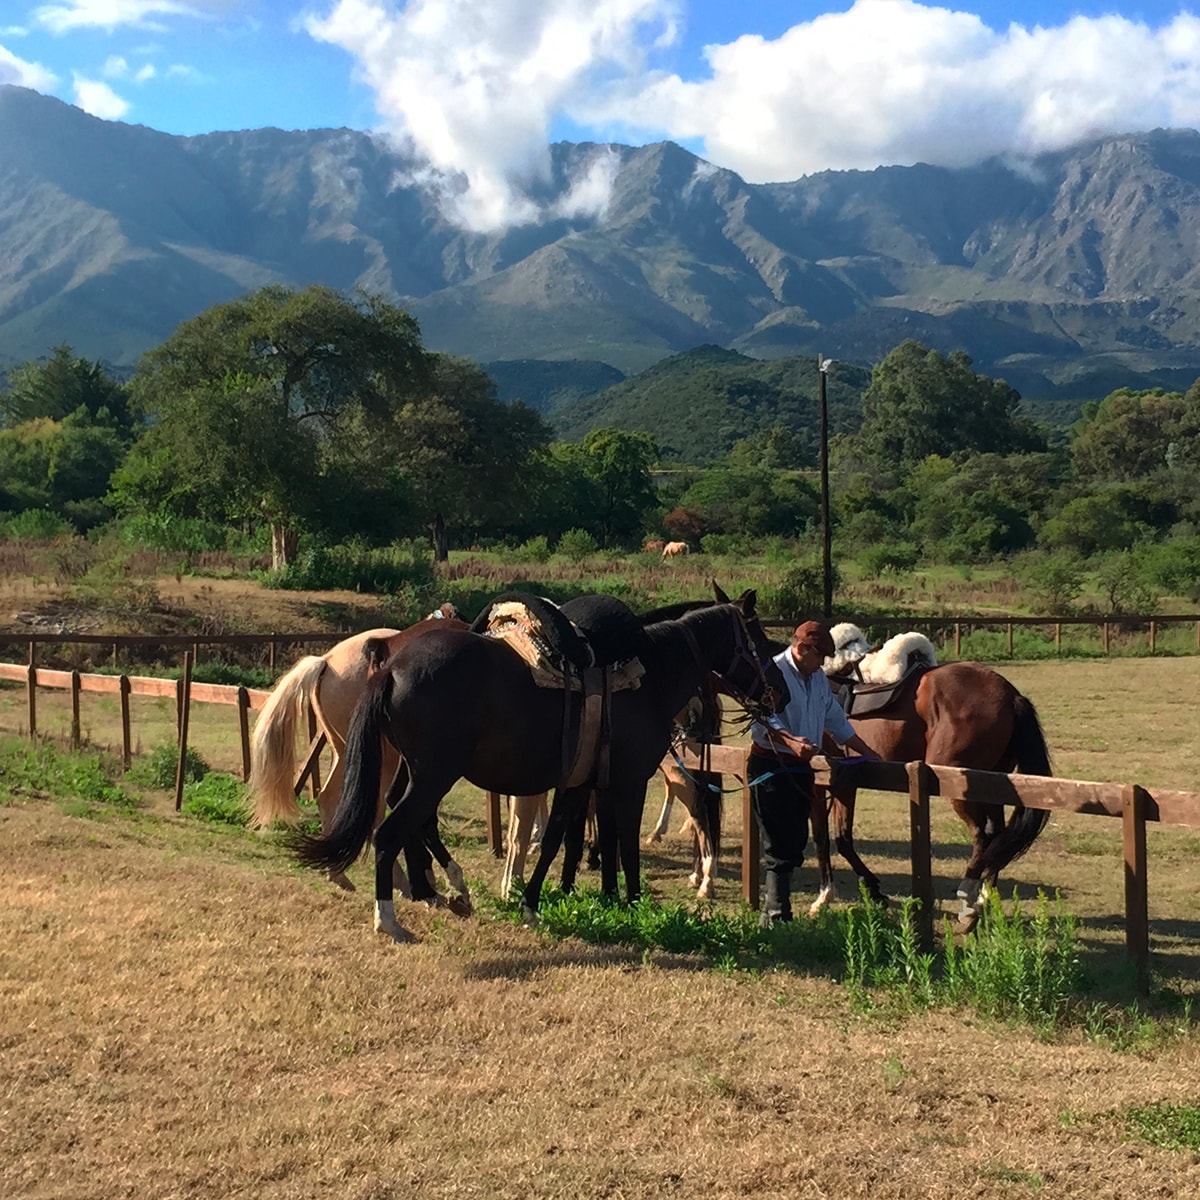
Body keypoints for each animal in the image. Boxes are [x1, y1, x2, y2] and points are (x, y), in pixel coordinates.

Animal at [295, 585, 787, 940]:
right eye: (761, 642)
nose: (779, 694)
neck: (648, 676)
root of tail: (391, 667)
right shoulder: (628, 782)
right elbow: (624, 845)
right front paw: (630, 902)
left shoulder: (580, 781)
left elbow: (557, 841)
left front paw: (537, 904)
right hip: (434, 775)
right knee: (390, 831)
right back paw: (395, 917)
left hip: (416, 771)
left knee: (410, 823)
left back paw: (442, 891)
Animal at [806, 624, 1051, 931]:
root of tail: (1010, 695)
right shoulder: (842, 783)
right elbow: (840, 838)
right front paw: (870, 891)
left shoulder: (826, 782)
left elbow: (829, 838)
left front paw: (827, 897)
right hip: (992, 782)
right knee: (997, 833)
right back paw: (983, 899)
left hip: (960, 784)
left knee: (981, 834)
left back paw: (968, 897)